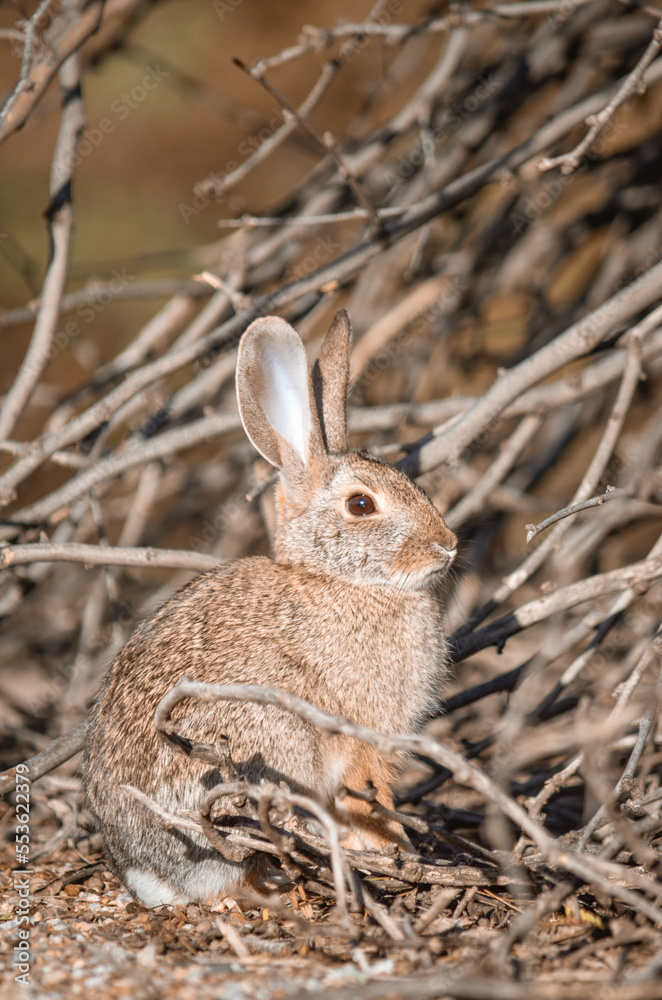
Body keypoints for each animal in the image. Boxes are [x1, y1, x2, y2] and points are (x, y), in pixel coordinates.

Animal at [82, 309, 457, 907]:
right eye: (361, 504)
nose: (448, 545)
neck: (337, 578)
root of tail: (150, 874)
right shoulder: (363, 738)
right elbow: (371, 798)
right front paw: (397, 852)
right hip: (265, 747)